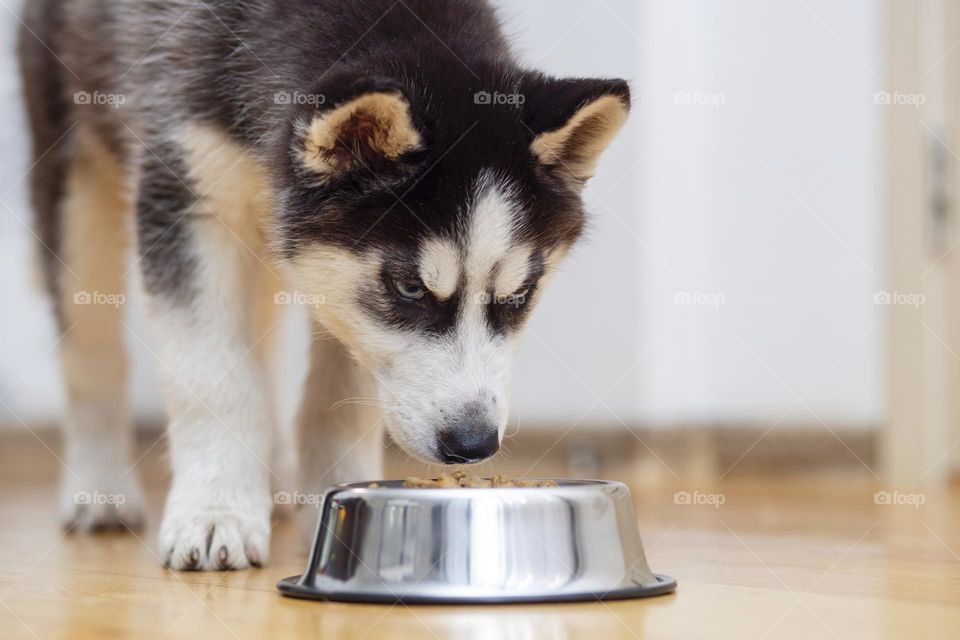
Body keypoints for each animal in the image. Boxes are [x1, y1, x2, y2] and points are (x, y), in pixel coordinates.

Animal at [16, 0, 632, 568]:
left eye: (518, 294)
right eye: (409, 288)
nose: (474, 444)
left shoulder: (337, 287)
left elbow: (340, 395)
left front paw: (336, 498)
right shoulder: (184, 195)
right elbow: (214, 378)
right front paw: (214, 513)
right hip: (76, 176)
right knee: (90, 344)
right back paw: (101, 488)